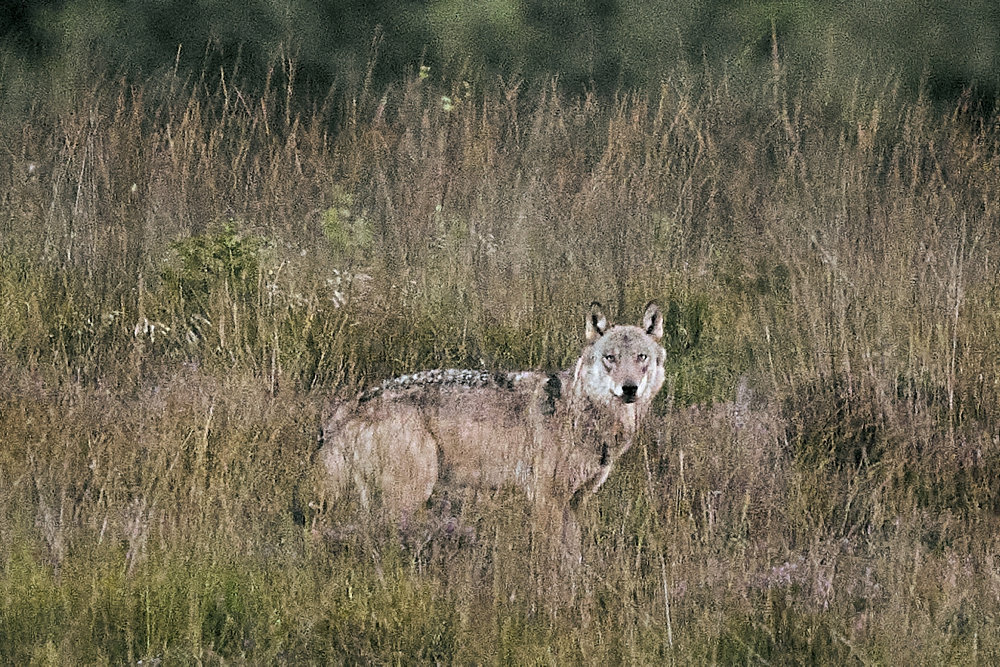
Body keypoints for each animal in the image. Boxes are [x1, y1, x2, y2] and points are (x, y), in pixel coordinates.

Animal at [316, 302, 666, 533]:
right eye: (610, 358)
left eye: (641, 357)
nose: (629, 388)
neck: (583, 412)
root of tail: (351, 405)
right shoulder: (546, 500)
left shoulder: (575, 503)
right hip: (410, 496)